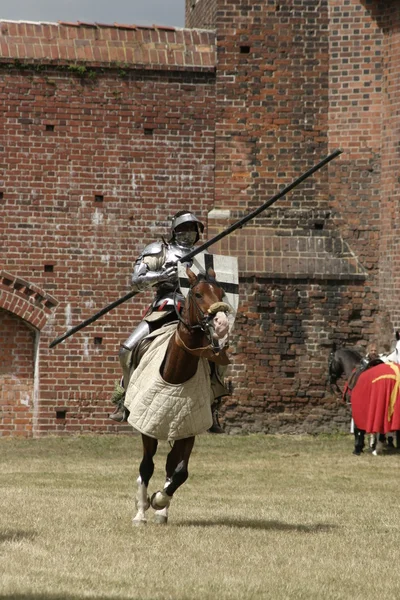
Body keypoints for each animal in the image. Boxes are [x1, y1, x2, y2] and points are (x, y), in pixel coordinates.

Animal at [125, 268, 231, 524]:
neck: (175, 375)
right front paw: (141, 511)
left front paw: (159, 500)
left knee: (171, 465)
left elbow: (180, 471)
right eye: (198, 293)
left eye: (221, 292)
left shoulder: (187, 428)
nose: (222, 324)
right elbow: (146, 466)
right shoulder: (147, 427)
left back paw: (162, 510)